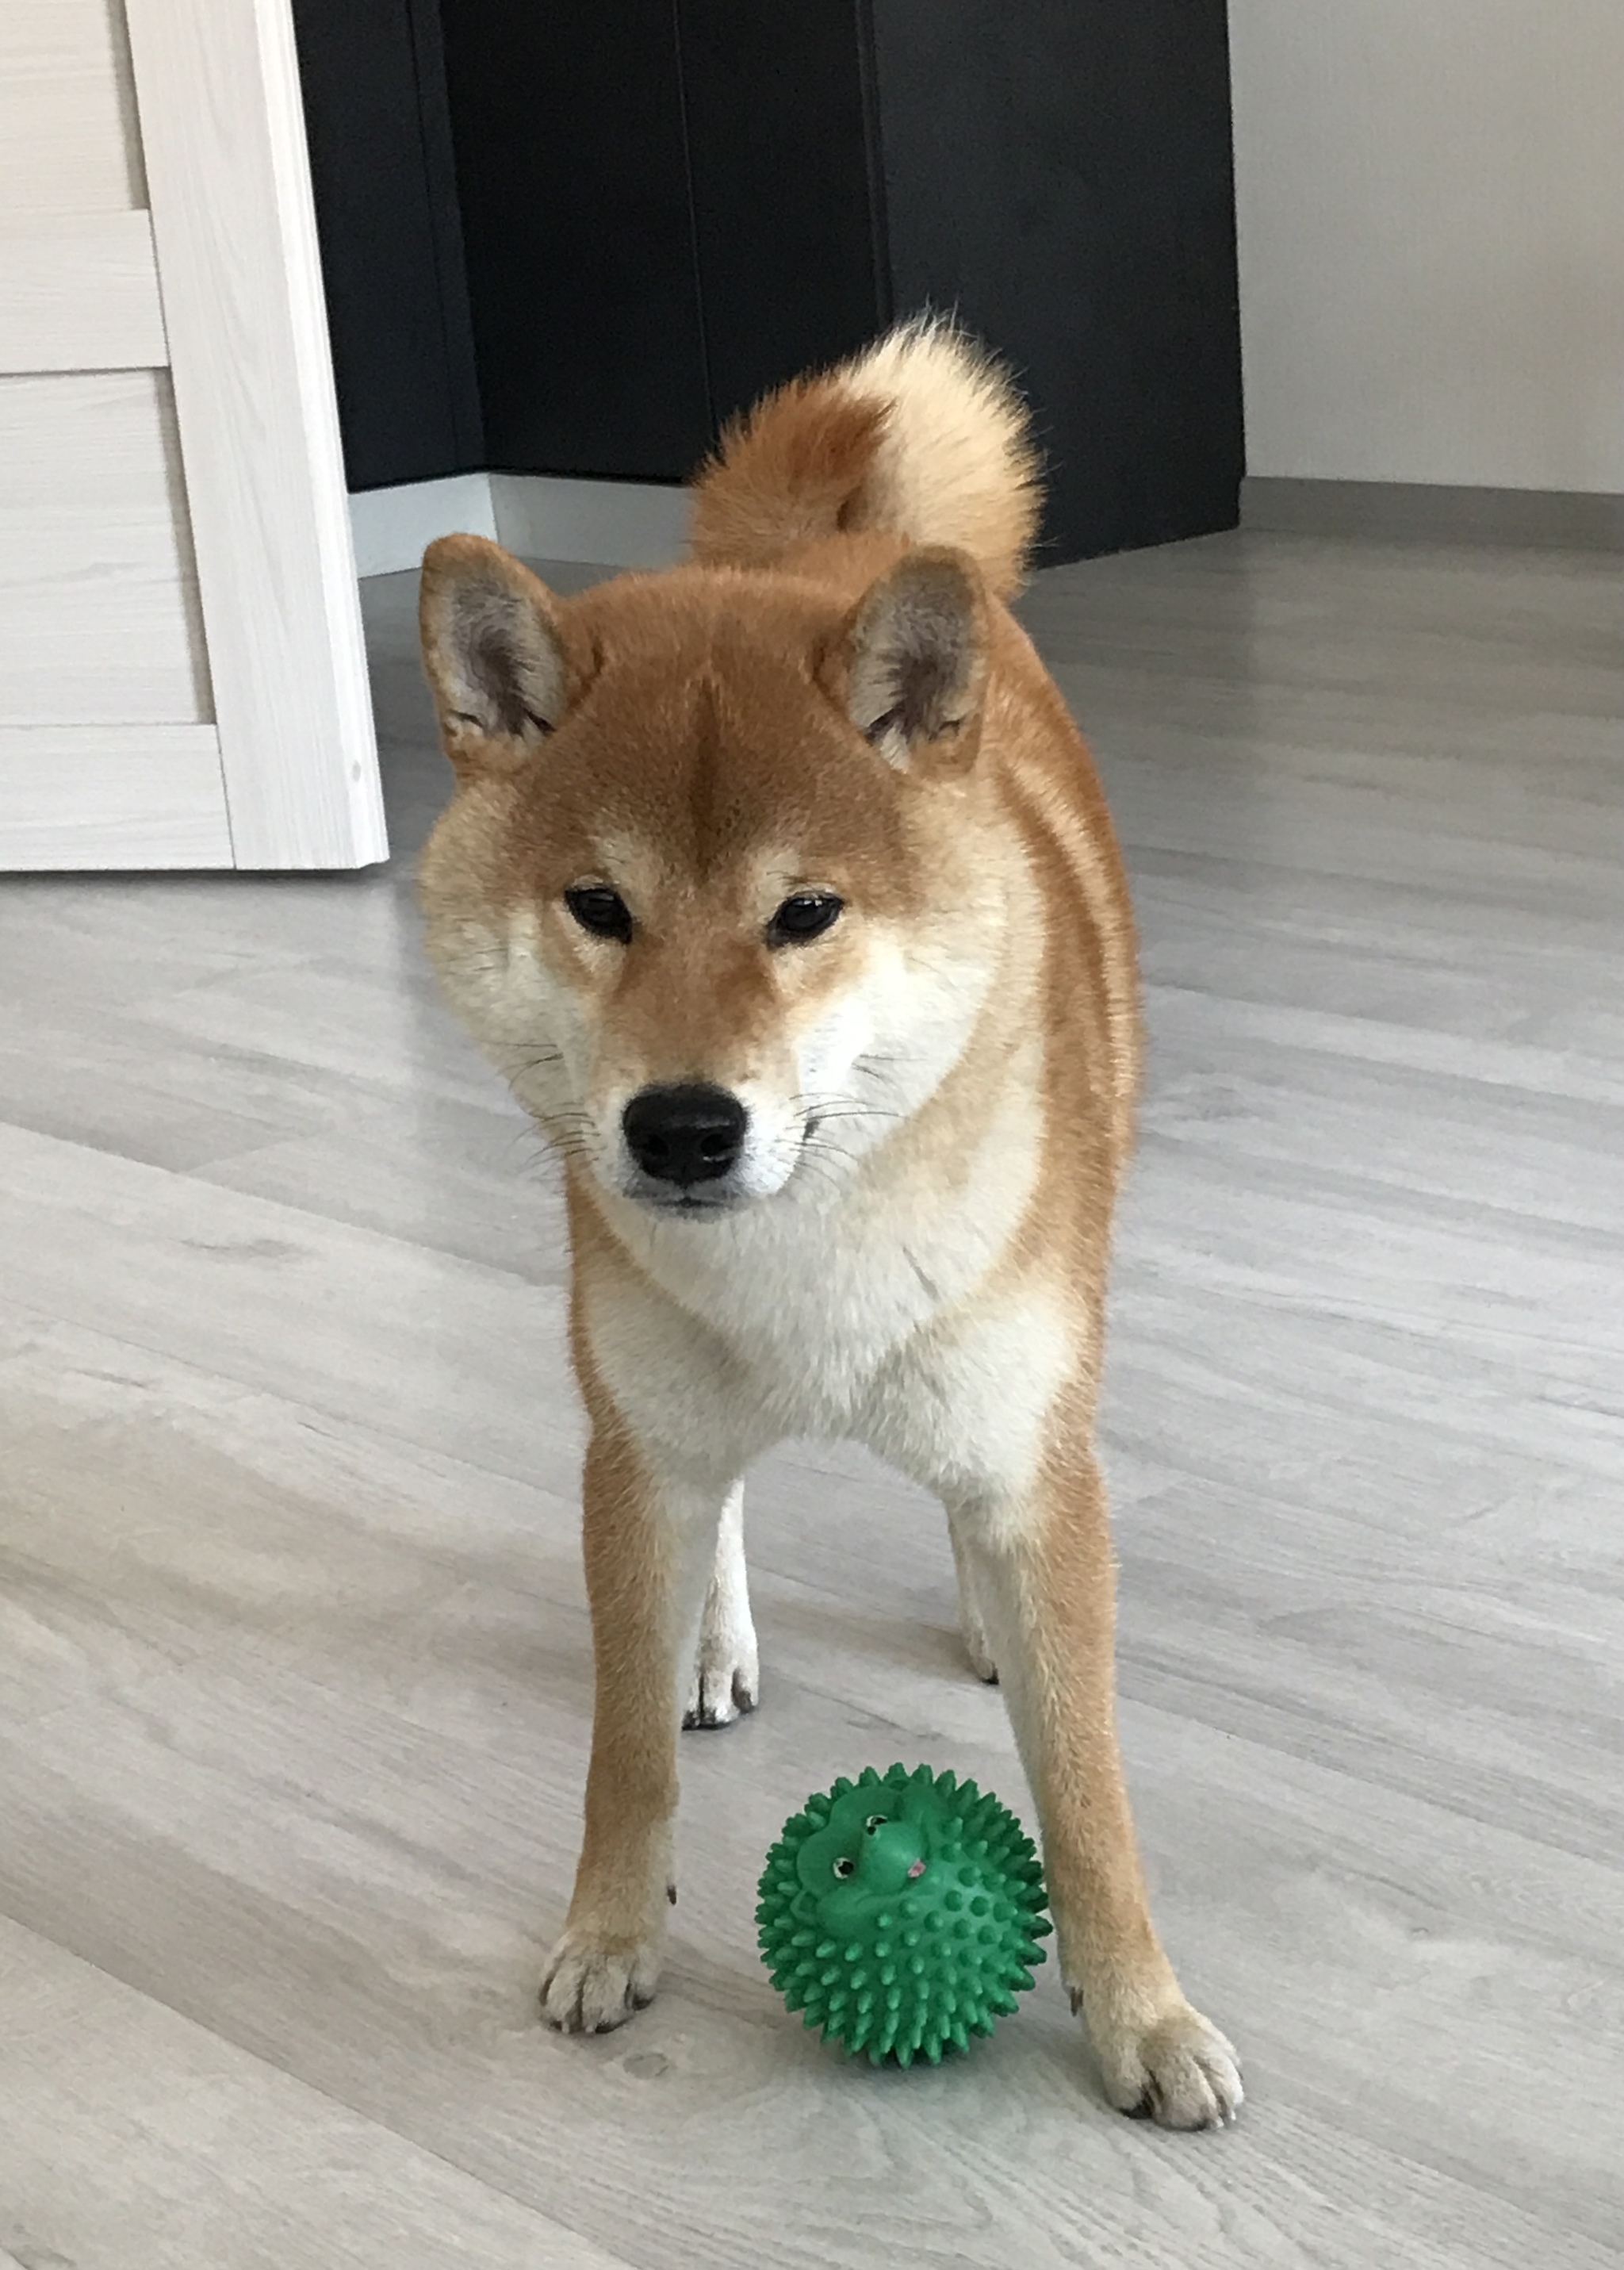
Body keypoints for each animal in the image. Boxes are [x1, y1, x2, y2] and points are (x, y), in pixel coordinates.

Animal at [419, 320, 1243, 2124]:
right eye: (597, 907)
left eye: (805, 913)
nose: (680, 1126)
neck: (804, 1244)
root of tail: (821, 551)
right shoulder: (630, 1451)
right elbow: (619, 1752)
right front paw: (610, 1928)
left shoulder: (1030, 1441)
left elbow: (1086, 1788)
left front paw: (1141, 2013)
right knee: (714, 1506)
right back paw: (713, 1643)